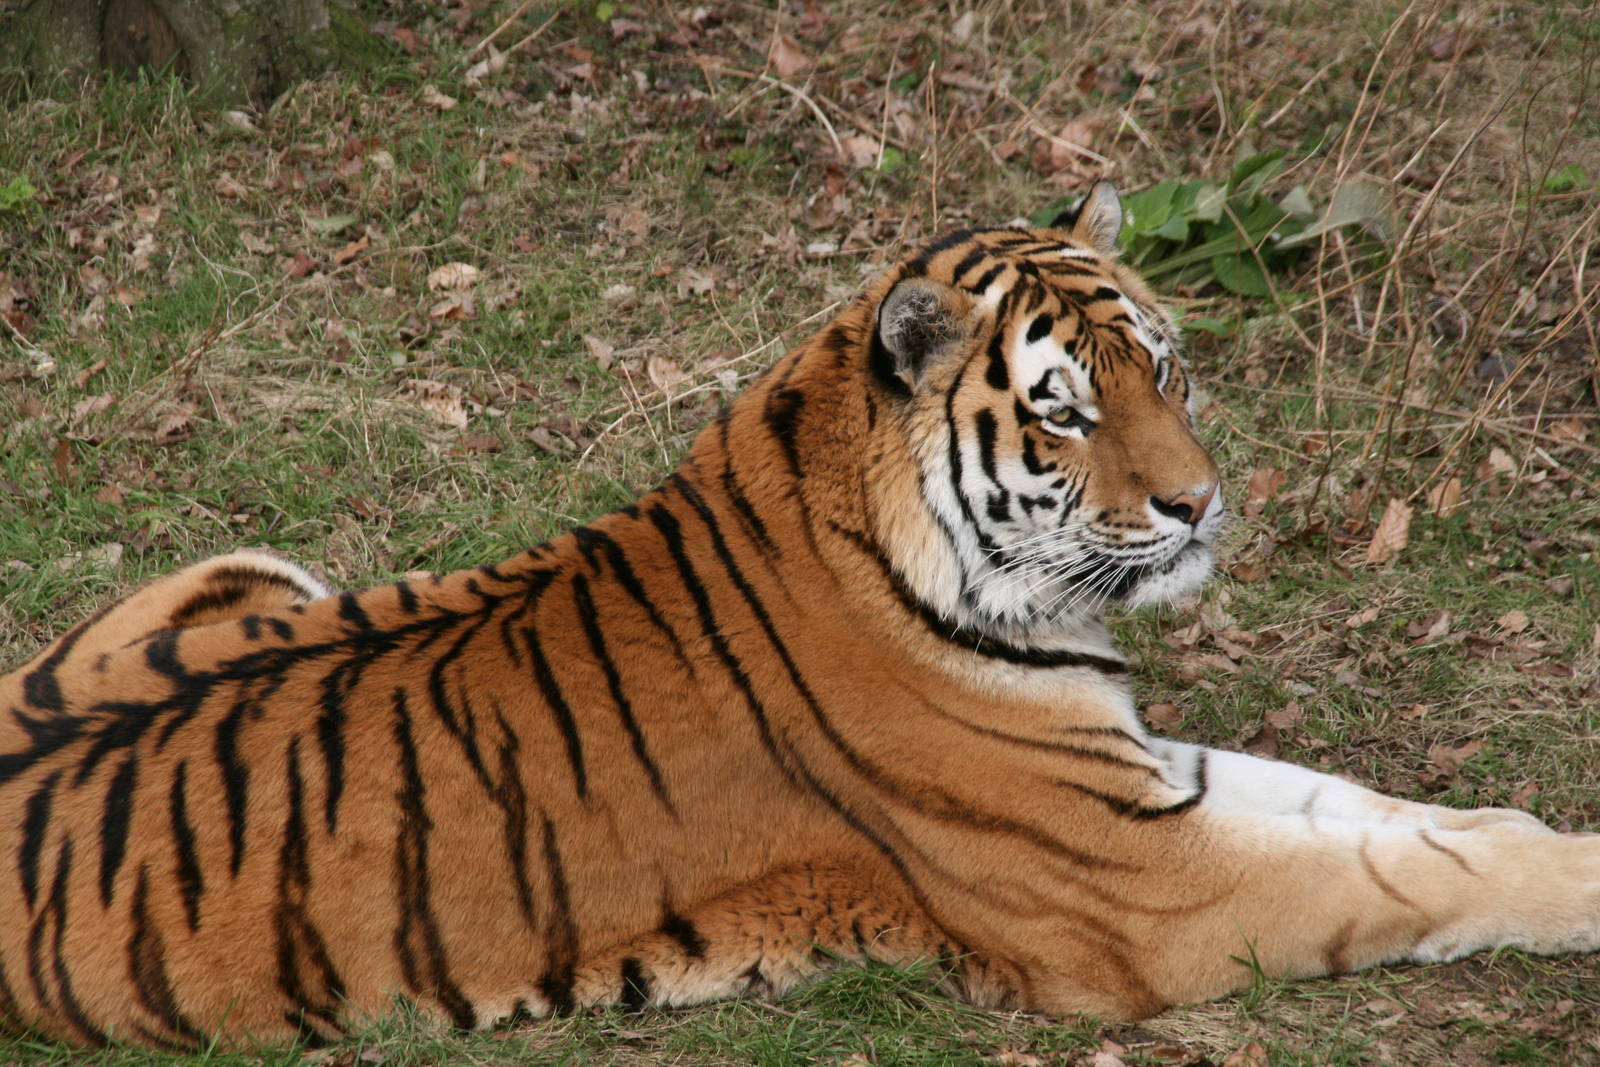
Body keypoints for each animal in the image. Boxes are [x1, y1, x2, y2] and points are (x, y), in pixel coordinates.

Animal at [3, 182, 1598, 1050]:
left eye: (1165, 367)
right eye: (1065, 411)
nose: (1201, 503)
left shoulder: (1144, 776)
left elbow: (1400, 817)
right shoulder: (1147, 886)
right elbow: (1404, 875)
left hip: (260, 566)